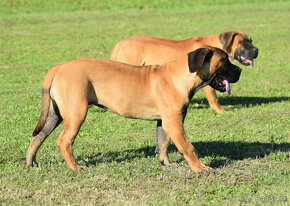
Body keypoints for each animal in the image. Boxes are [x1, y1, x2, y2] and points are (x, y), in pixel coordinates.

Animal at [26, 46, 241, 172]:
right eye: (225, 60)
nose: (240, 70)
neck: (182, 76)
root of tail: (59, 67)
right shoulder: (174, 122)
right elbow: (187, 146)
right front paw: (200, 168)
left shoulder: (164, 121)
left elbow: (163, 143)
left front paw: (166, 163)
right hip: (76, 113)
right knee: (64, 141)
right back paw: (75, 167)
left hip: (55, 114)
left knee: (38, 136)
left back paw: (30, 162)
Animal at [110, 31, 258, 159]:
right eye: (243, 42)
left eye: (250, 41)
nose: (257, 50)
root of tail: (121, 43)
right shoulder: (207, 86)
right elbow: (214, 98)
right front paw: (220, 111)